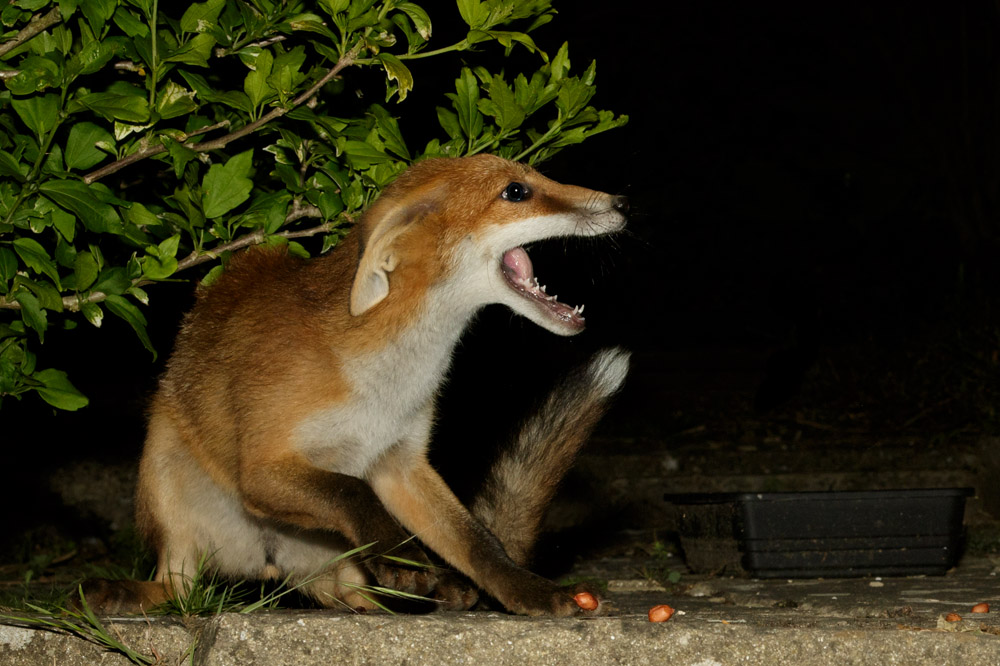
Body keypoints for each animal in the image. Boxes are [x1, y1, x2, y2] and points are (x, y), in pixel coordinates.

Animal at [82, 153, 630, 617]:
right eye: (517, 191)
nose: (622, 203)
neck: (383, 387)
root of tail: (271, 568)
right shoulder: (261, 466)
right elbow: (352, 493)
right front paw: (404, 562)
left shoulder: (401, 463)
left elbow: (479, 542)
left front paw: (525, 591)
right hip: (162, 465)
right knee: (179, 586)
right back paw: (122, 592)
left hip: (341, 569)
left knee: (366, 596)